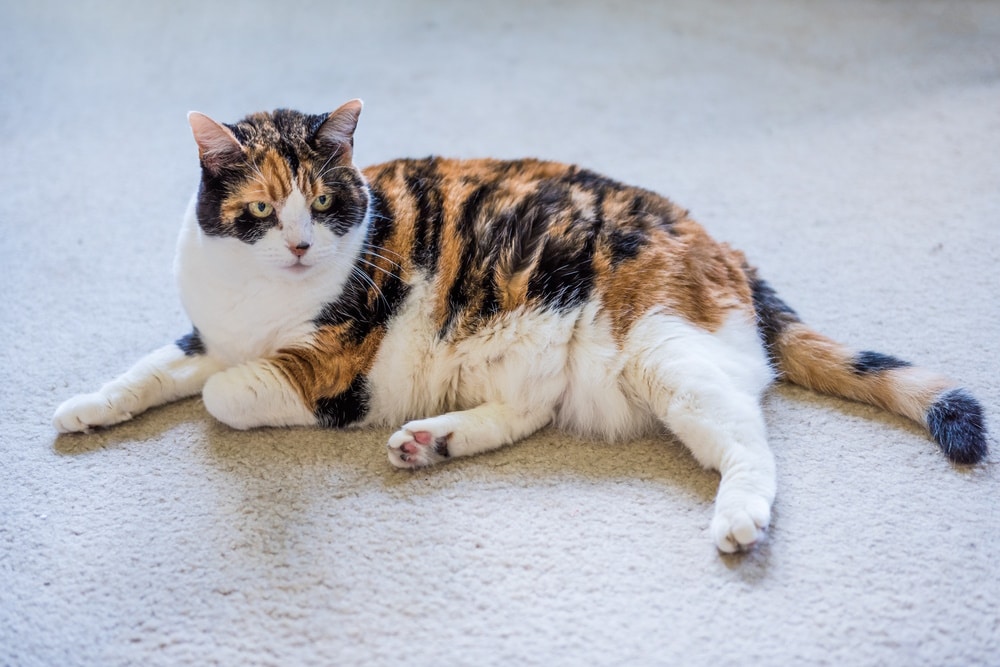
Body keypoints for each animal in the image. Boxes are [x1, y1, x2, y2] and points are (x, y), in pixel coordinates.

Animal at [52, 99, 984, 552]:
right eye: (257, 211)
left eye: (321, 202)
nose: (300, 244)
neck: (255, 301)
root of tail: (723, 246)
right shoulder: (206, 331)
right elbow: (154, 369)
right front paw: (86, 407)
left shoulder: (329, 363)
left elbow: (225, 394)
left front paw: (230, 391)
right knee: (531, 407)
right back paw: (428, 440)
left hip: (663, 352)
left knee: (751, 444)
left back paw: (739, 521)